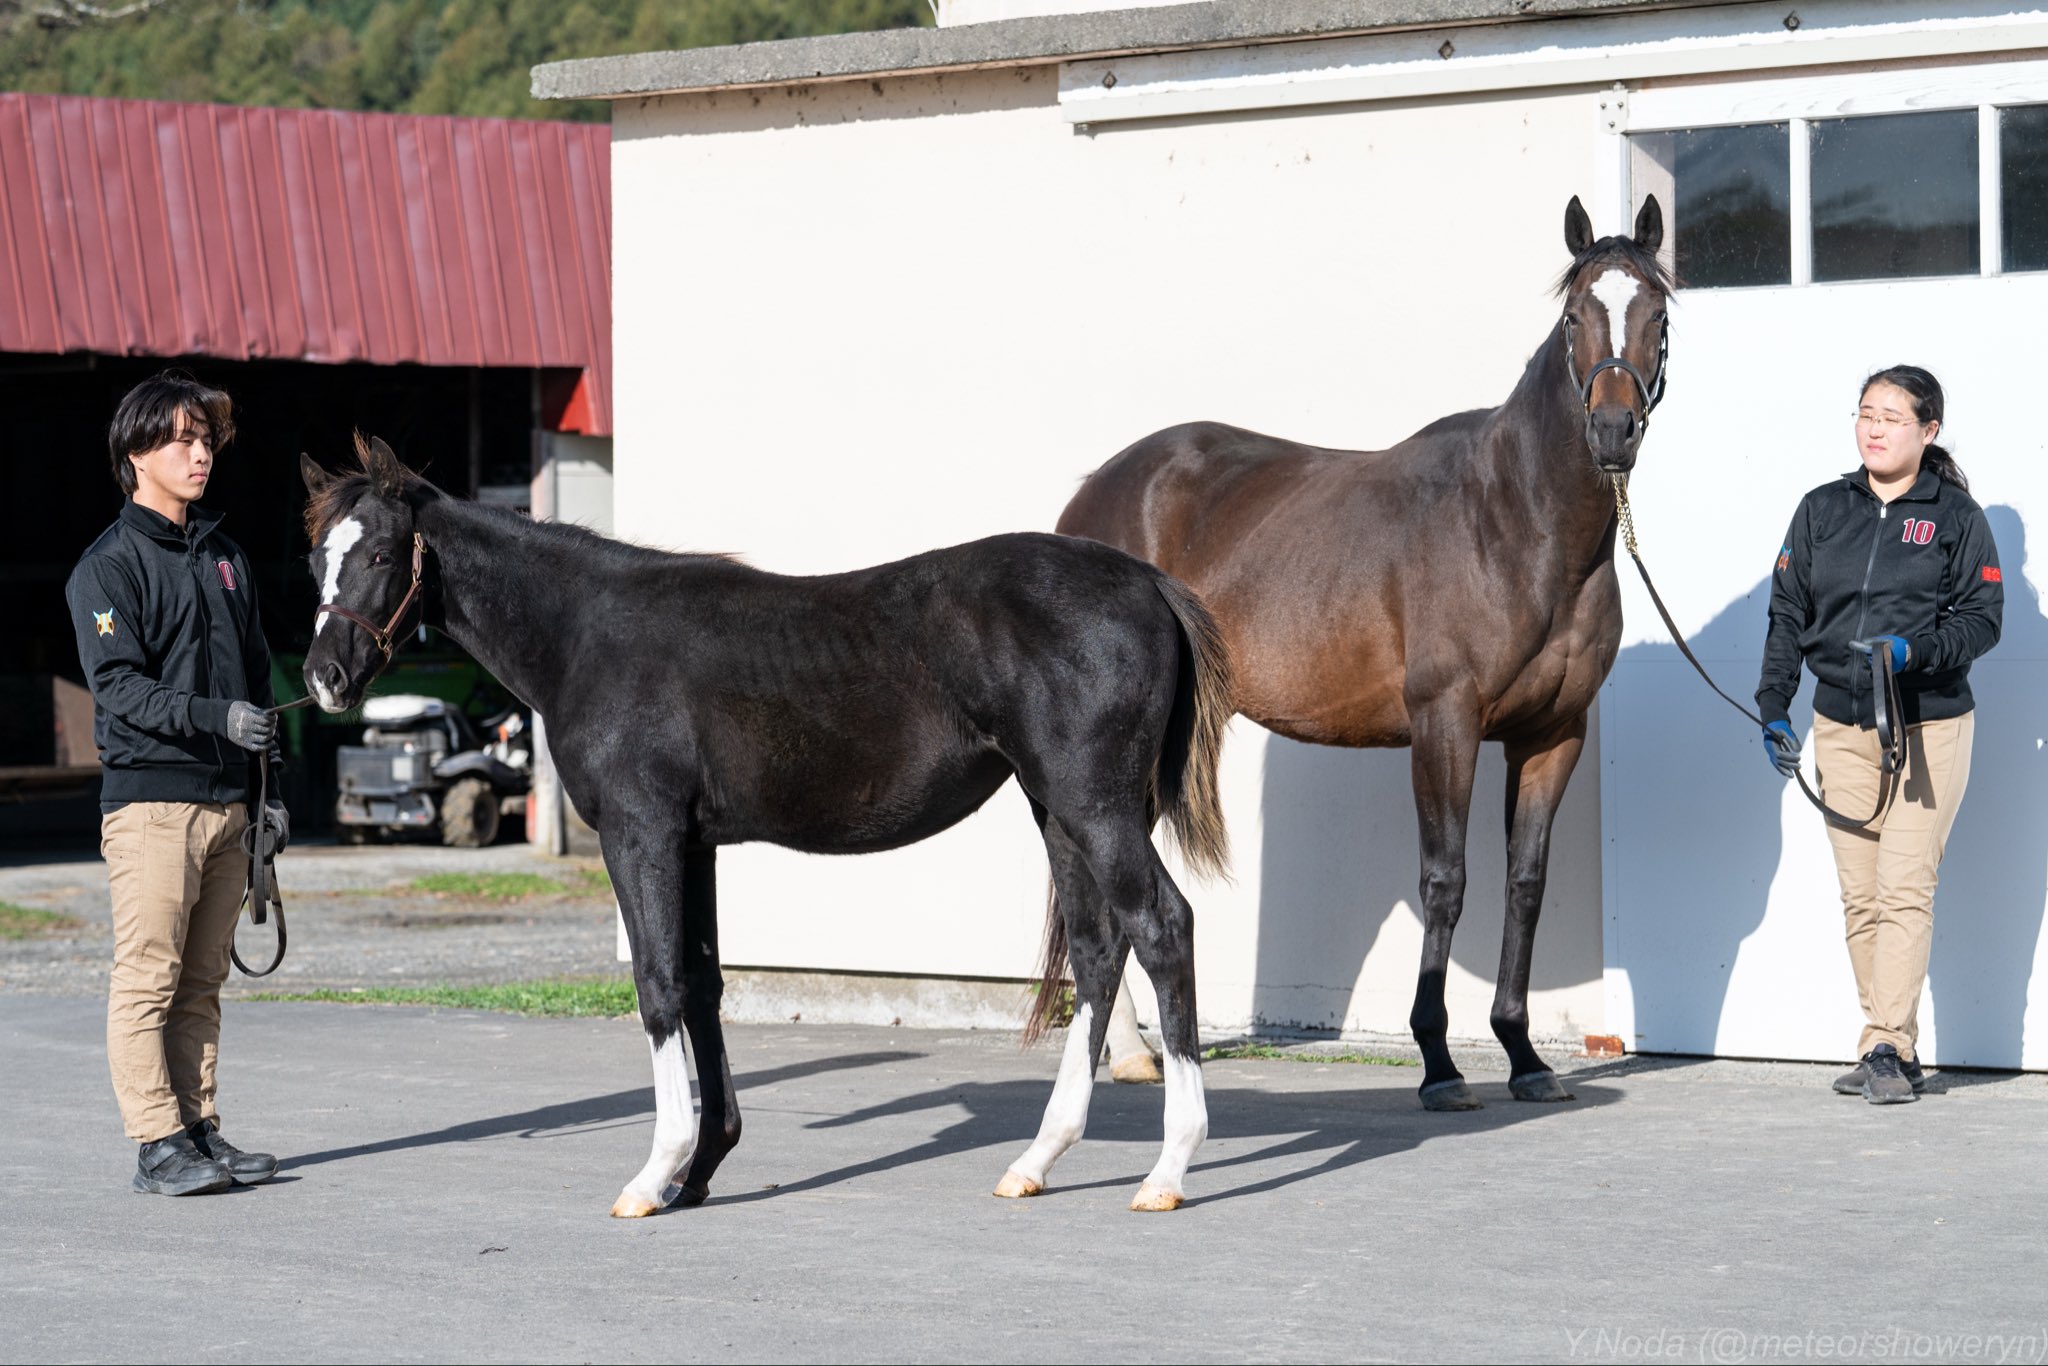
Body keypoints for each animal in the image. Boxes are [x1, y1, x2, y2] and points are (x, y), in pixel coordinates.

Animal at [298, 436, 1233, 1214]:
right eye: (314, 557)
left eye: (380, 553)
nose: (324, 679)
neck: (586, 635)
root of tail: (1148, 584)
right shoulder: (694, 844)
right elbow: (702, 985)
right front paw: (700, 1169)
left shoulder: (639, 834)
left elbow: (658, 986)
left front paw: (654, 1174)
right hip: (1059, 810)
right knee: (1098, 949)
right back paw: (1037, 1160)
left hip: (1095, 807)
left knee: (1161, 927)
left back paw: (1168, 1169)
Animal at [1058, 195, 1673, 1111]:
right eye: (1573, 317)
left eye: (1658, 314)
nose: (1612, 429)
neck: (1519, 522)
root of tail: (1091, 494)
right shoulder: (1444, 724)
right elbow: (1446, 882)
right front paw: (1441, 1065)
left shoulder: (1553, 734)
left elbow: (1524, 883)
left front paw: (1524, 1056)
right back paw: (1128, 1053)